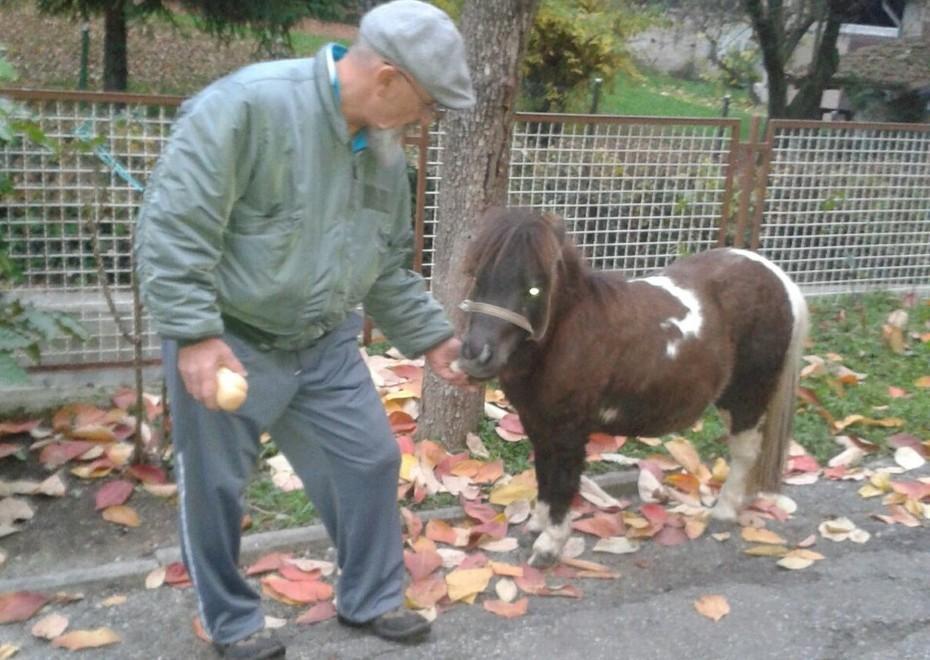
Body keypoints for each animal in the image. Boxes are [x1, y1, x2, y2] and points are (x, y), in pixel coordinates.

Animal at [457, 207, 809, 567]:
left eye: (534, 289)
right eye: (478, 276)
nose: (476, 355)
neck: (569, 335)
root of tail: (776, 275)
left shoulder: (570, 430)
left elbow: (563, 480)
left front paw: (550, 545)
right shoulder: (537, 423)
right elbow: (544, 472)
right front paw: (537, 526)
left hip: (747, 396)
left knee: (745, 450)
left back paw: (724, 511)